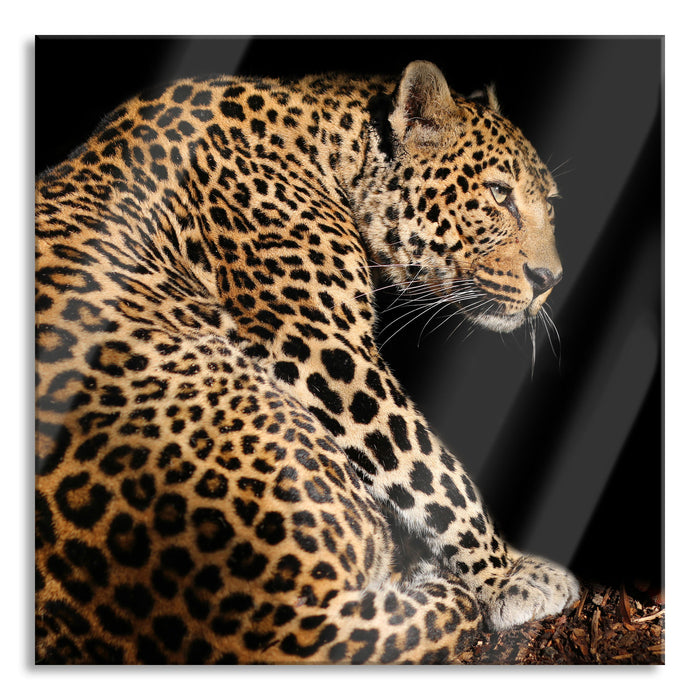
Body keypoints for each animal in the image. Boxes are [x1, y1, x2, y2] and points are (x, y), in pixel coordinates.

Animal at [35, 59, 579, 664]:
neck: (330, 146)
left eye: (550, 205)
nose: (550, 281)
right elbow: (431, 470)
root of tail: (273, 624)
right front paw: (508, 578)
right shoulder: (323, 347)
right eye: (499, 194)